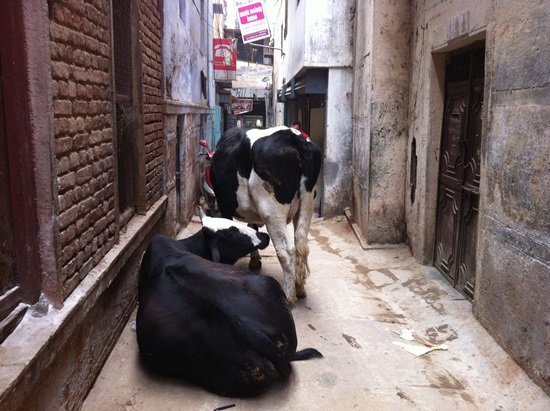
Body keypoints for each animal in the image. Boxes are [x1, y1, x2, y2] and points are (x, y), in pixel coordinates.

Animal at [210, 125, 324, 302]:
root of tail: (291, 136)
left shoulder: (224, 207)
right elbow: (253, 229)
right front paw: (254, 260)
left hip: (272, 211)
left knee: (287, 252)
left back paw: (289, 296)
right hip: (307, 203)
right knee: (301, 245)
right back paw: (299, 289)